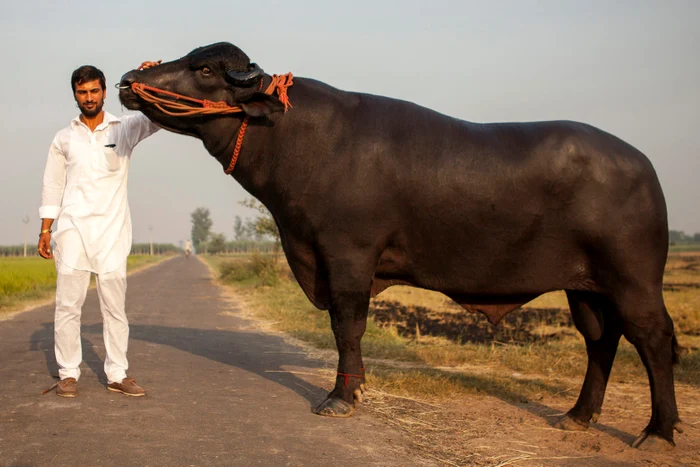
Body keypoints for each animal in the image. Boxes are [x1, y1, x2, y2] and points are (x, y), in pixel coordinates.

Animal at [120, 43, 684, 450]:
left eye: (204, 69)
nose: (127, 81)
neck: (298, 141)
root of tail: (644, 165)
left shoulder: (348, 254)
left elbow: (347, 325)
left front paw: (341, 395)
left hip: (634, 280)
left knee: (653, 340)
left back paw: (658, 432)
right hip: (585, 288)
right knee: (601, 340)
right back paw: (578, 416)